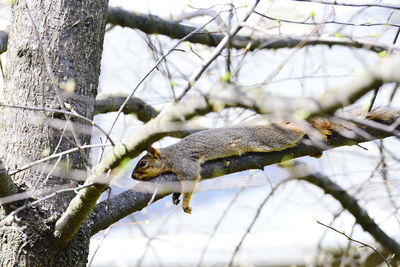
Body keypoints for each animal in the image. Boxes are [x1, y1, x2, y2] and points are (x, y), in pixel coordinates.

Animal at [132, 108, 396, 215]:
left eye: (142, 163)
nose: (132, 176)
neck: (168, 157)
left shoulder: (184, 163)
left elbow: (190, 179)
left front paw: (185, 203)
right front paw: (176, 196)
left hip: (274, 138)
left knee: (295, 133)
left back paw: (317, 131)